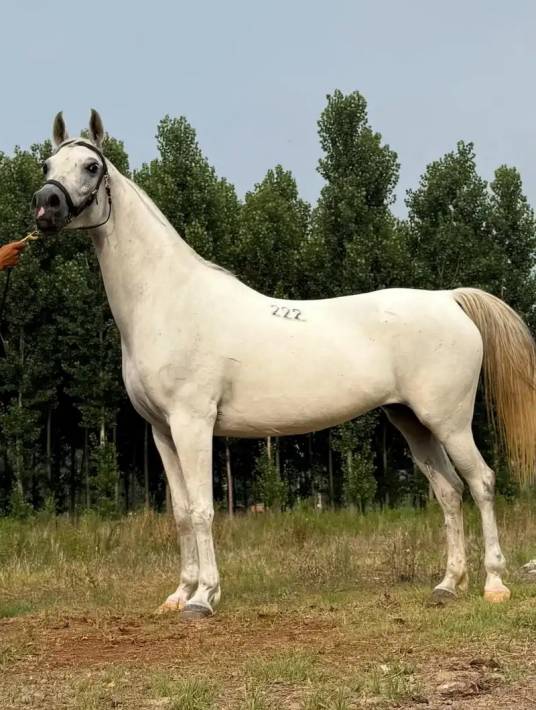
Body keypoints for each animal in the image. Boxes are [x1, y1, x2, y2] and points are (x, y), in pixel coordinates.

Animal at [31, 110, 536, 619]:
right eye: (47, 164)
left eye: (92, 166)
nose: (45, 206)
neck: (170, 300)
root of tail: (448, 299)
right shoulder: (162, 431)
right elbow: (181, 512)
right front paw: (178, 594)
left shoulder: (193, 423)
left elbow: (202, 509)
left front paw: (203, 598)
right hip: (411, 421)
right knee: (449, 491)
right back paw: (448, 584)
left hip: (449, 421)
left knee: (482, 482)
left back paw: (494, 583)